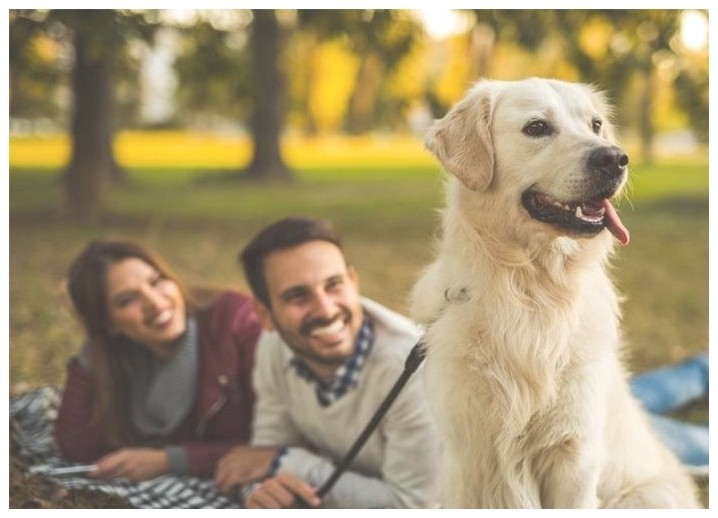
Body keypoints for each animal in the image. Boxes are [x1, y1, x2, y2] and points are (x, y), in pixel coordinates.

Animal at [414, 79, 700, 510]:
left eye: (595, 124)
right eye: (537, 127)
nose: (615, 158)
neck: (532, 290)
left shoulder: (573, 453)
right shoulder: (464, 456)